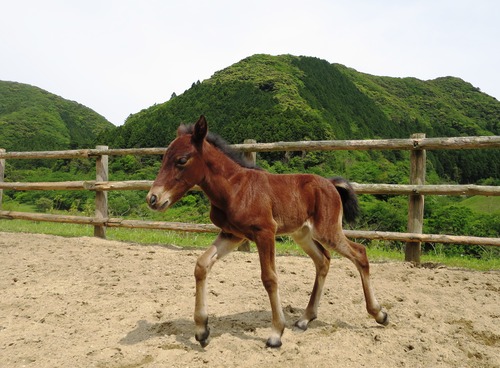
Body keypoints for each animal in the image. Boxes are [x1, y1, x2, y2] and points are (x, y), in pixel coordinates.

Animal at [146, 115, 388, 348]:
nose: (153, 198)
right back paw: (305, 319)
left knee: (359, 253)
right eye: (164, 158)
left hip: (327, 231)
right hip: (302, 234)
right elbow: (201, 265)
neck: (234, 189)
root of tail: (329, 183)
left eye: (182, 160)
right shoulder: (232, 234)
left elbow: (269, 278)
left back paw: (379, 314)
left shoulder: (265, 233)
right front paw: (202, 331)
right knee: (323, 260)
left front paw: (276, 333)